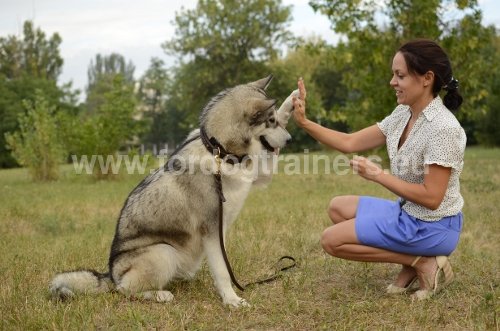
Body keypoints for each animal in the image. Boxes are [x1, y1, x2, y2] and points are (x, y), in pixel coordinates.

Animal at [50, 76, 298, 308]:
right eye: (270, 121)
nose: (290, 139)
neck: (217, 150)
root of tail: (110, 274)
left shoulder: (257, 177)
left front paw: (293, 101)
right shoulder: (211, 229)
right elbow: (222, 271)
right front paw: (231, 299)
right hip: (163, 252)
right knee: (124, 290)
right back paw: (159, 295)